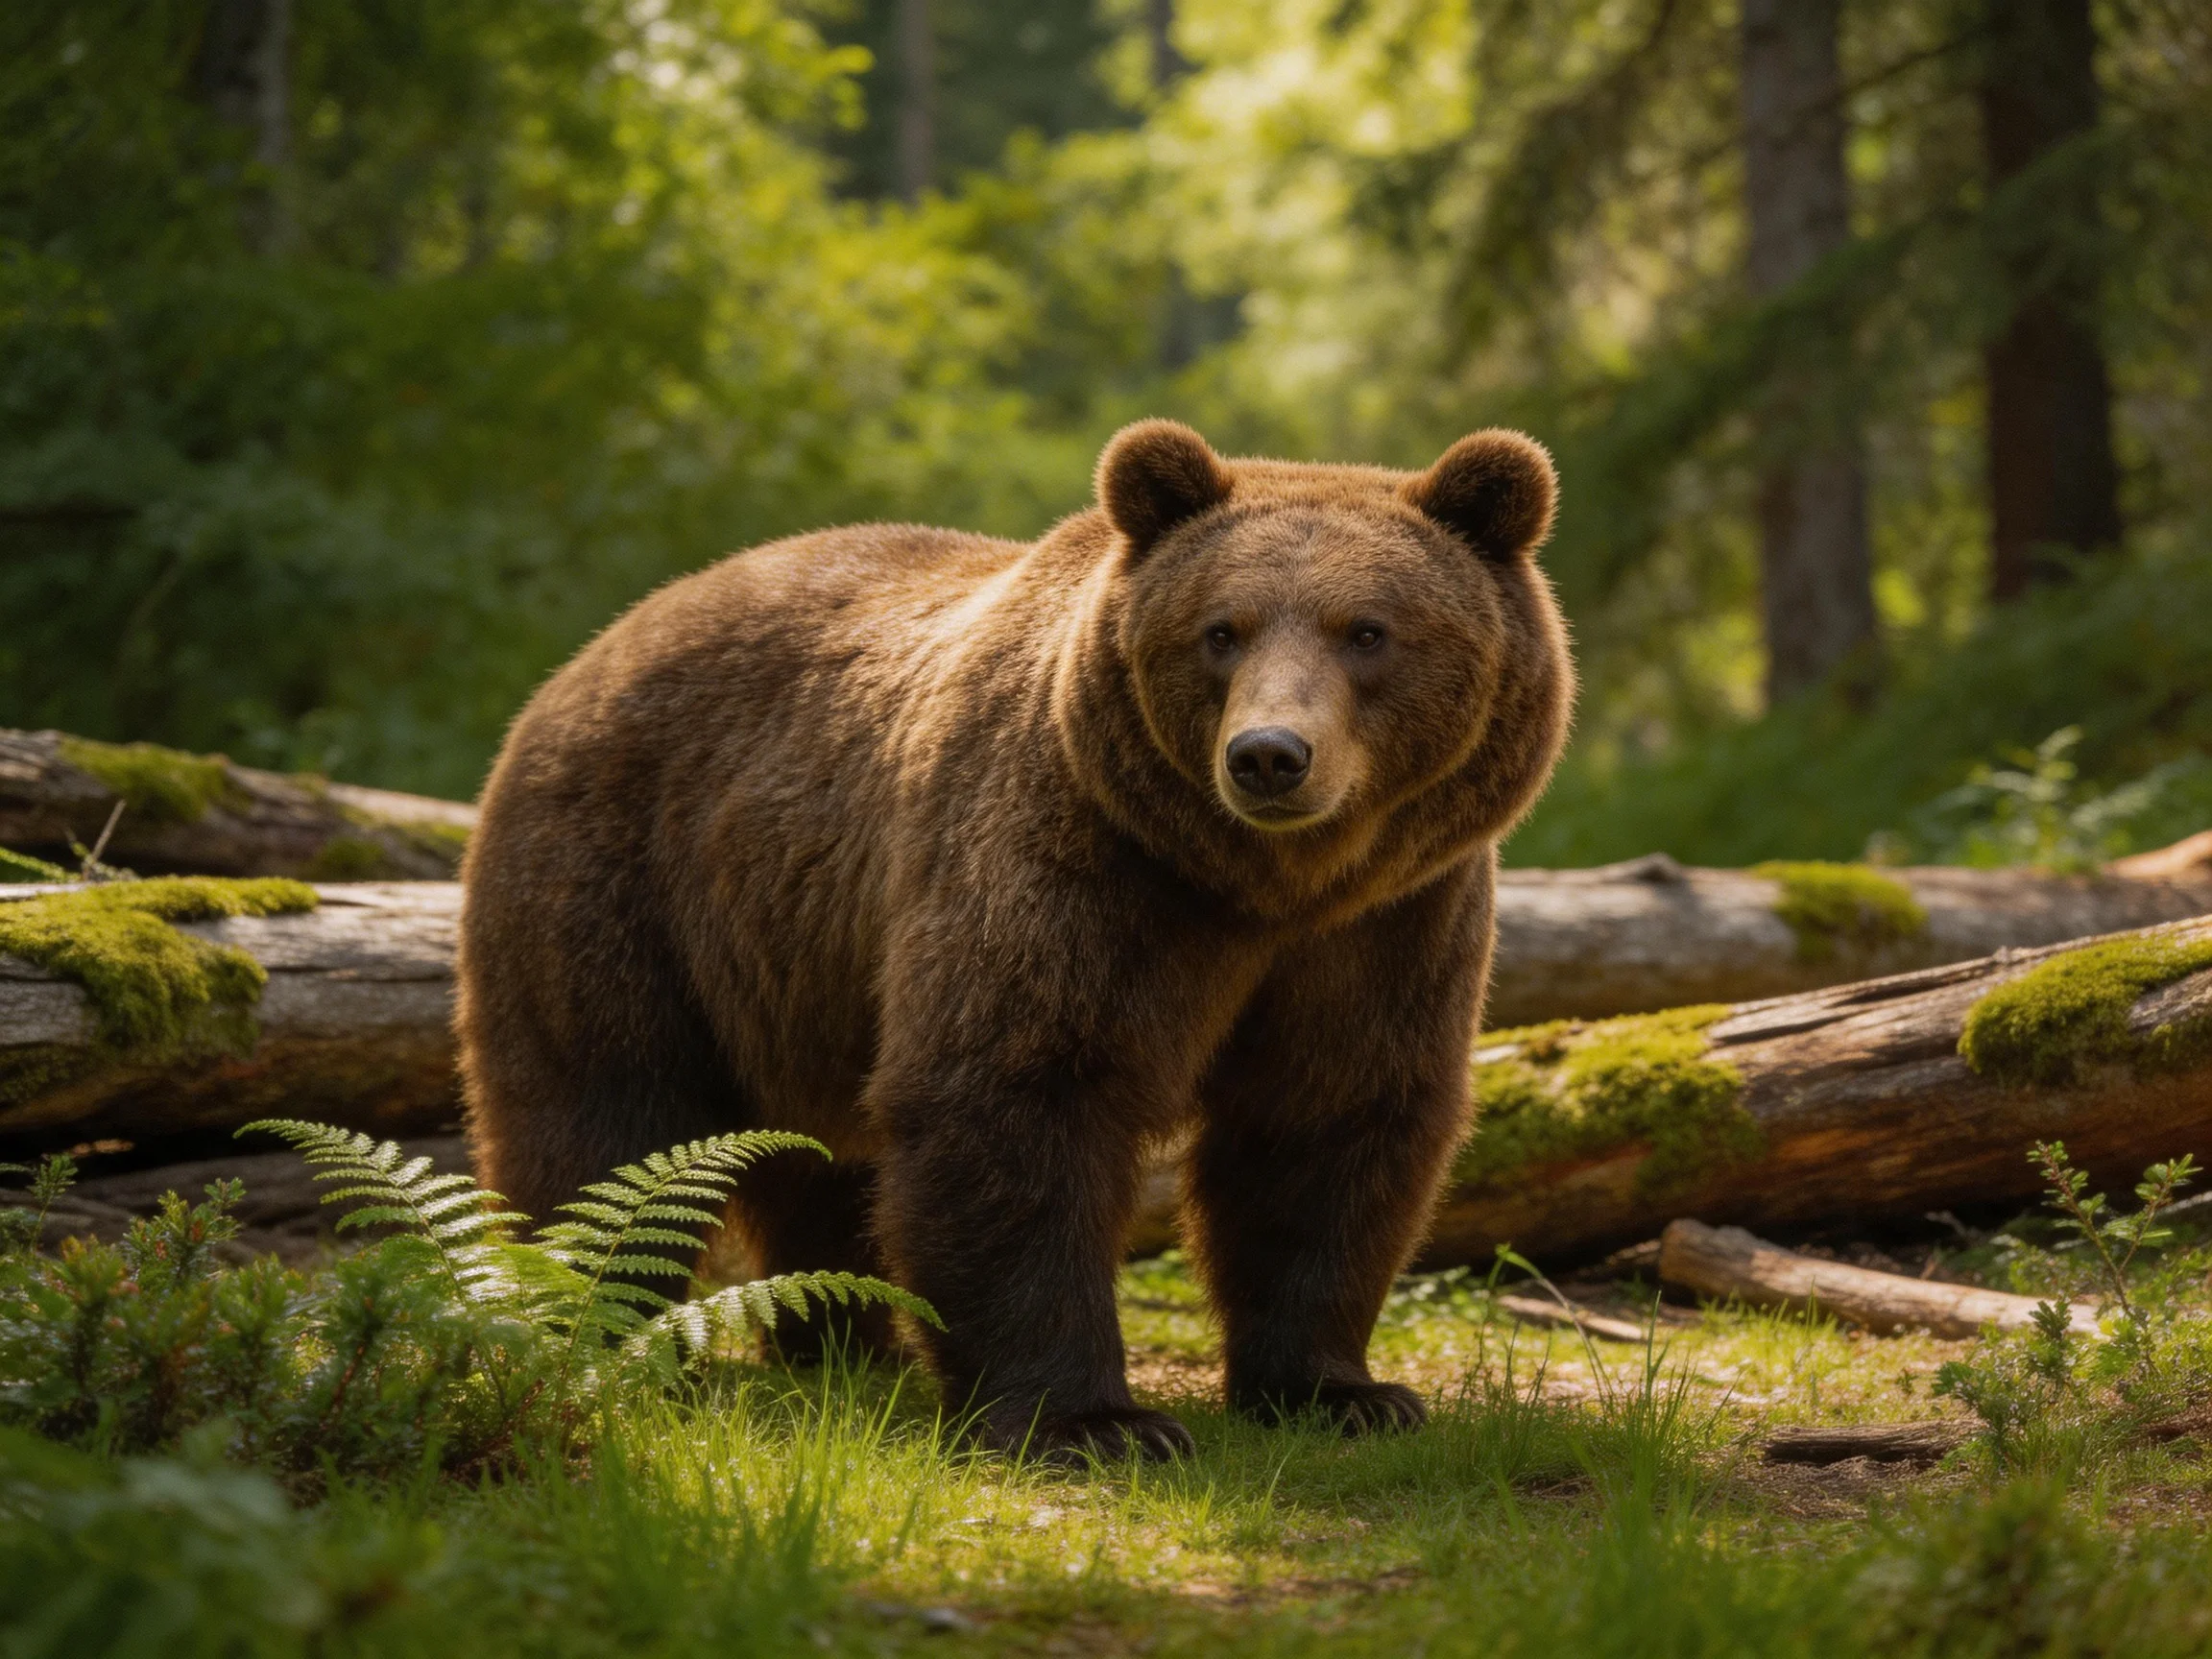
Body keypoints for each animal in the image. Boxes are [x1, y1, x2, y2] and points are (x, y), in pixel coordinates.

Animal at [455, 419, 1574, 1459]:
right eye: (1222, 630)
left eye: (1368, 630)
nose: (1268, 756)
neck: (1265, 886)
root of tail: (590, 652)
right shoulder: (1079, 858)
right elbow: (1017, 1090)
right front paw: (1090, 1420)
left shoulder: (1388, 923)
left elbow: (1329, 1120)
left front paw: (1341, 1392)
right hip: (620, 882)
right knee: (604, 1116)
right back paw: (597, 1327)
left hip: (796, 965)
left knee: (820, 1156)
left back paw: (846, 1344)